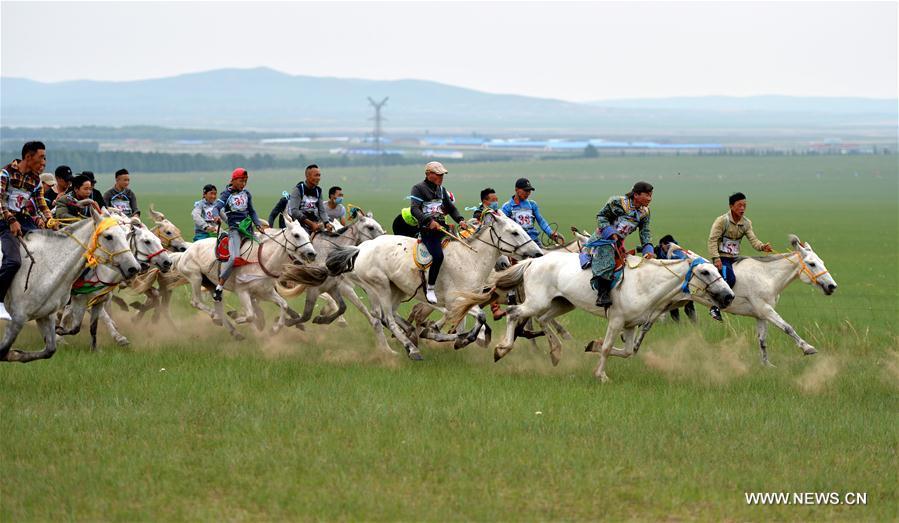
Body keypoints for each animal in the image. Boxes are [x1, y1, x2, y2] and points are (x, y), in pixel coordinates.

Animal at [0, 209, 141, 364]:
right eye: (108, 236)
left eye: (126, 235)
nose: (134, 268)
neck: (46, 268)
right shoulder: (18, 317)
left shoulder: (46, 315)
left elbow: (51, 348)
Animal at [59, 217, 174, 352]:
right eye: (147, 241)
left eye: (159, 241)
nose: (167, 262)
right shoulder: (83, 295)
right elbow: (101, 315)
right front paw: (119, 337)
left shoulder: (99, 296)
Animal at [172, 213, 320, 340]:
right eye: (296, 235)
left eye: (307, 234)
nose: (312, 254)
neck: (262, 260)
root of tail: (187, 250)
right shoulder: (242, 291)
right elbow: (250, 315)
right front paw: (239, 319)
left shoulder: (264, 292)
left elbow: (283, 304)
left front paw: (274, 330)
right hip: (195, 277)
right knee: (196, 302)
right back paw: (216, 317)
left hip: (210, 284)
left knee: (218, 304)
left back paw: (234, 332)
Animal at [326, 209, 544, 360]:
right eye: (514, 232)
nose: (537, 253)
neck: (469, 260)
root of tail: (361, 247)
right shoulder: (455, 301)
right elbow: (478, 318)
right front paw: (456, 338)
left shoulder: (466, 302)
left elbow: (471, 323)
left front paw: (453, 338)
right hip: (380, 288)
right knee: (385, 318)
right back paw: (411, 349)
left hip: (397, 290)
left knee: (391, 317)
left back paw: (412, 337)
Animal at [464, 244, 740, 382]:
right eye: (705, 272)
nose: (729, 296)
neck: (644, 284)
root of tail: (533, 261)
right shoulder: (616, 321)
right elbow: (608, 348)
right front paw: (601, 374)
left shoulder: (630, 325)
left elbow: (626, 352)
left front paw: (591, 345)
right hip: (536, 301)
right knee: (514, 313)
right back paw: (501, 350)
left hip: (561, 303)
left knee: (543, 319)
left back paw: (555, 352)